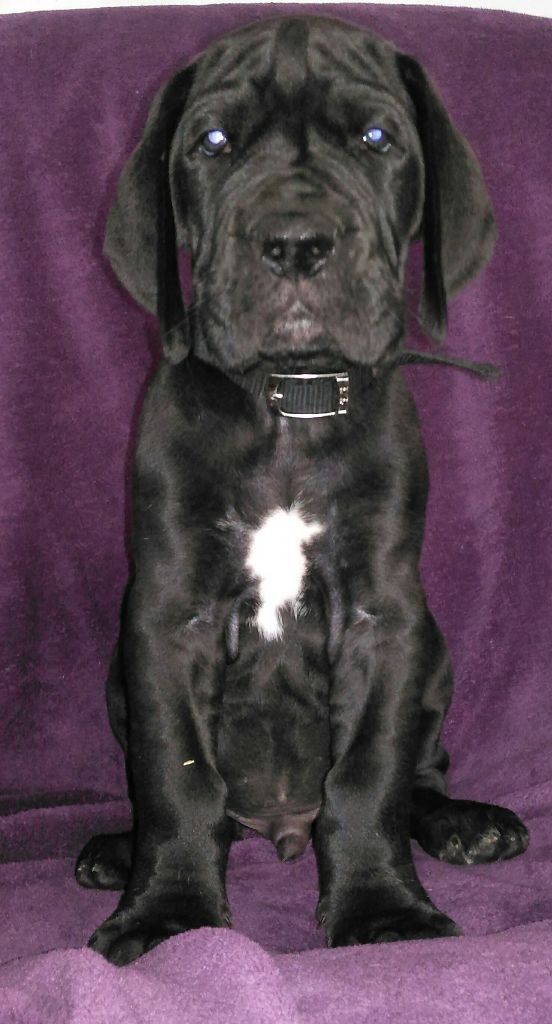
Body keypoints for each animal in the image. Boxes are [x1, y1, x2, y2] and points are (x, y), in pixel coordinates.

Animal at [76, 16, 529, 965]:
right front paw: (168, 912)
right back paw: (115, 850)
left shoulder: (383, 618)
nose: (294, 242)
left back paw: (464, 823)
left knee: (420, 772)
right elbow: (178, 778)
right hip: (116, 672)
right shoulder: (168, 619)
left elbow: (370, 775)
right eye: (214, 142)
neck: (291, 397)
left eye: (377, 138)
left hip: (435, 649)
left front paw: (382, 910)